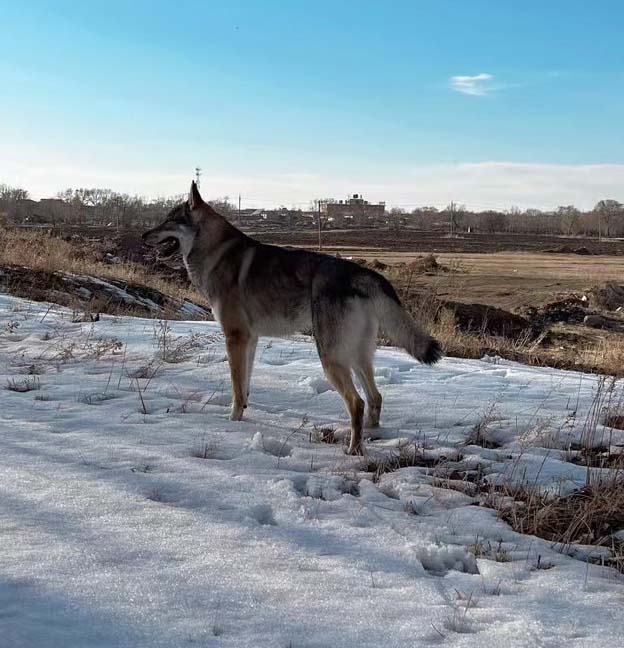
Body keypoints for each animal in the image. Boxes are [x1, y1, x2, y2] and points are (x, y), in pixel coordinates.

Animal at [143, 181, 442, 456]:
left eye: (169, 220)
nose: (144, 235)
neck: (216, 251)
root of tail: (365, 274)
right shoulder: (250, 339)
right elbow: (245, 386)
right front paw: (243, 413)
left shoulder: (235, 337)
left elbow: (236, 387)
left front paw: (233, 421)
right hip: (357, 357)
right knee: (375, 397)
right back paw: (369, 434)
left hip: (331, 358)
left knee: (357, 403)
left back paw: (353, 451)